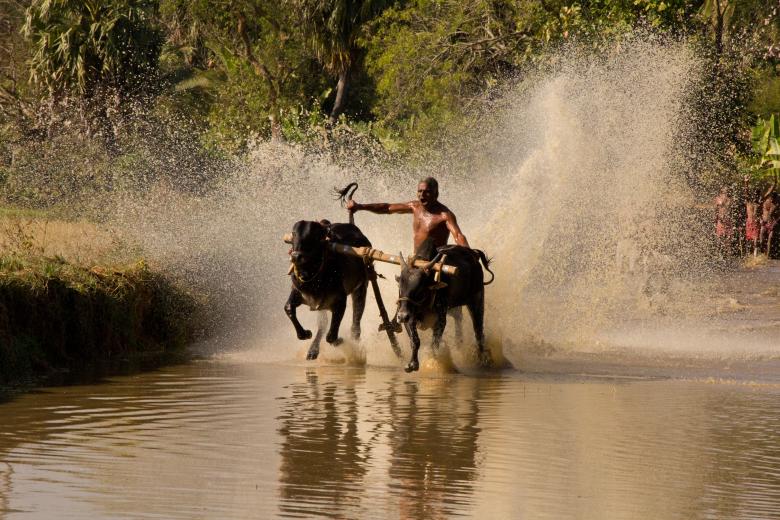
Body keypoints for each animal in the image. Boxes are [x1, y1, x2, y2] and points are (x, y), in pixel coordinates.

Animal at [285, 220, 371, 360]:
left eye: (315, 236)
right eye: (293, 233)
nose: (296, 256)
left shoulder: (340, 301)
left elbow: (331, 336)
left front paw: (340, 340)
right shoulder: (298, 292)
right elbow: (288, 308)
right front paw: (306, 334)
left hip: (361, 289)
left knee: (356, 324)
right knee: (323, 324)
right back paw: (313, 350)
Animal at [395, 244, 494, 372]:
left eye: (420, 290)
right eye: (400, 287)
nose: (402, 316)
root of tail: (473, 253)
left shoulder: (440, 320)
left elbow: (434, 344)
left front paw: (432, 363)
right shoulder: (410, 319)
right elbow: (415, 341)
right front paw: (412, 364)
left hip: (477, 300)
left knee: (478, 332)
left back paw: (483, 360)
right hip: (454, 308)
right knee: (459, 321)